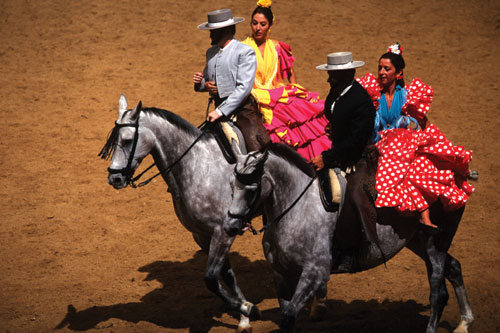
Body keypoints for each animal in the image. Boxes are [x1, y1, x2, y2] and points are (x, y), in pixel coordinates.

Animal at [99, 94, 260, 332]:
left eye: (127, 140)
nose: (115, 178)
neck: (197, 166)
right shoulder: (202, 235)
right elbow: (225, 275)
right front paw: (244, 314)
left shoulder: (223, 233)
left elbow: (211, 279)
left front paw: (249, 309)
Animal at [225, 145, 474, 332]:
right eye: (231, 186)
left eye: (252, 188)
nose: (229, 226)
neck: (296, 208)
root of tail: (455, 173)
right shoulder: (282, 274)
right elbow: (287, 318)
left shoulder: (314, 273)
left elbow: (289, 317)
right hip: (417, 240)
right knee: (454, 267)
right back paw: (464, 323)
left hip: (435, 244)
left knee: (438, 294)